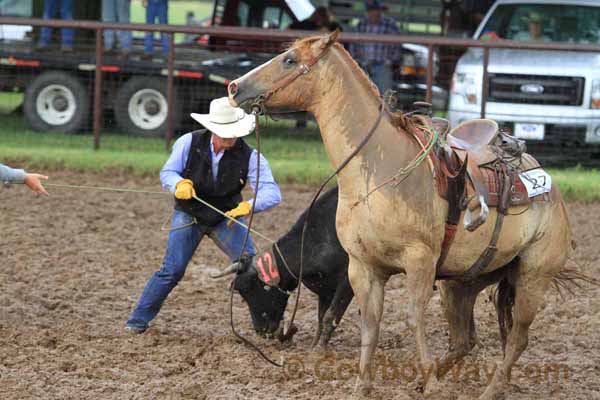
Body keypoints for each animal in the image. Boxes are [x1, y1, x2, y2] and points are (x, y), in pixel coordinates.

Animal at [227, 32, 576, 400]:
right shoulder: (362, 267)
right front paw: (363, 385)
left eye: (290, 60)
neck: (377, 170)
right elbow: (369, 322)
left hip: (532, 277)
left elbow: (413, 317)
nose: (234, 87)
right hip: (462, 282)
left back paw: (488, 388)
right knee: (465, 340)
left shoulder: (418, 262)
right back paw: (428, 379)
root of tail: (549, 189)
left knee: (518, 337)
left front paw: (432, 384)